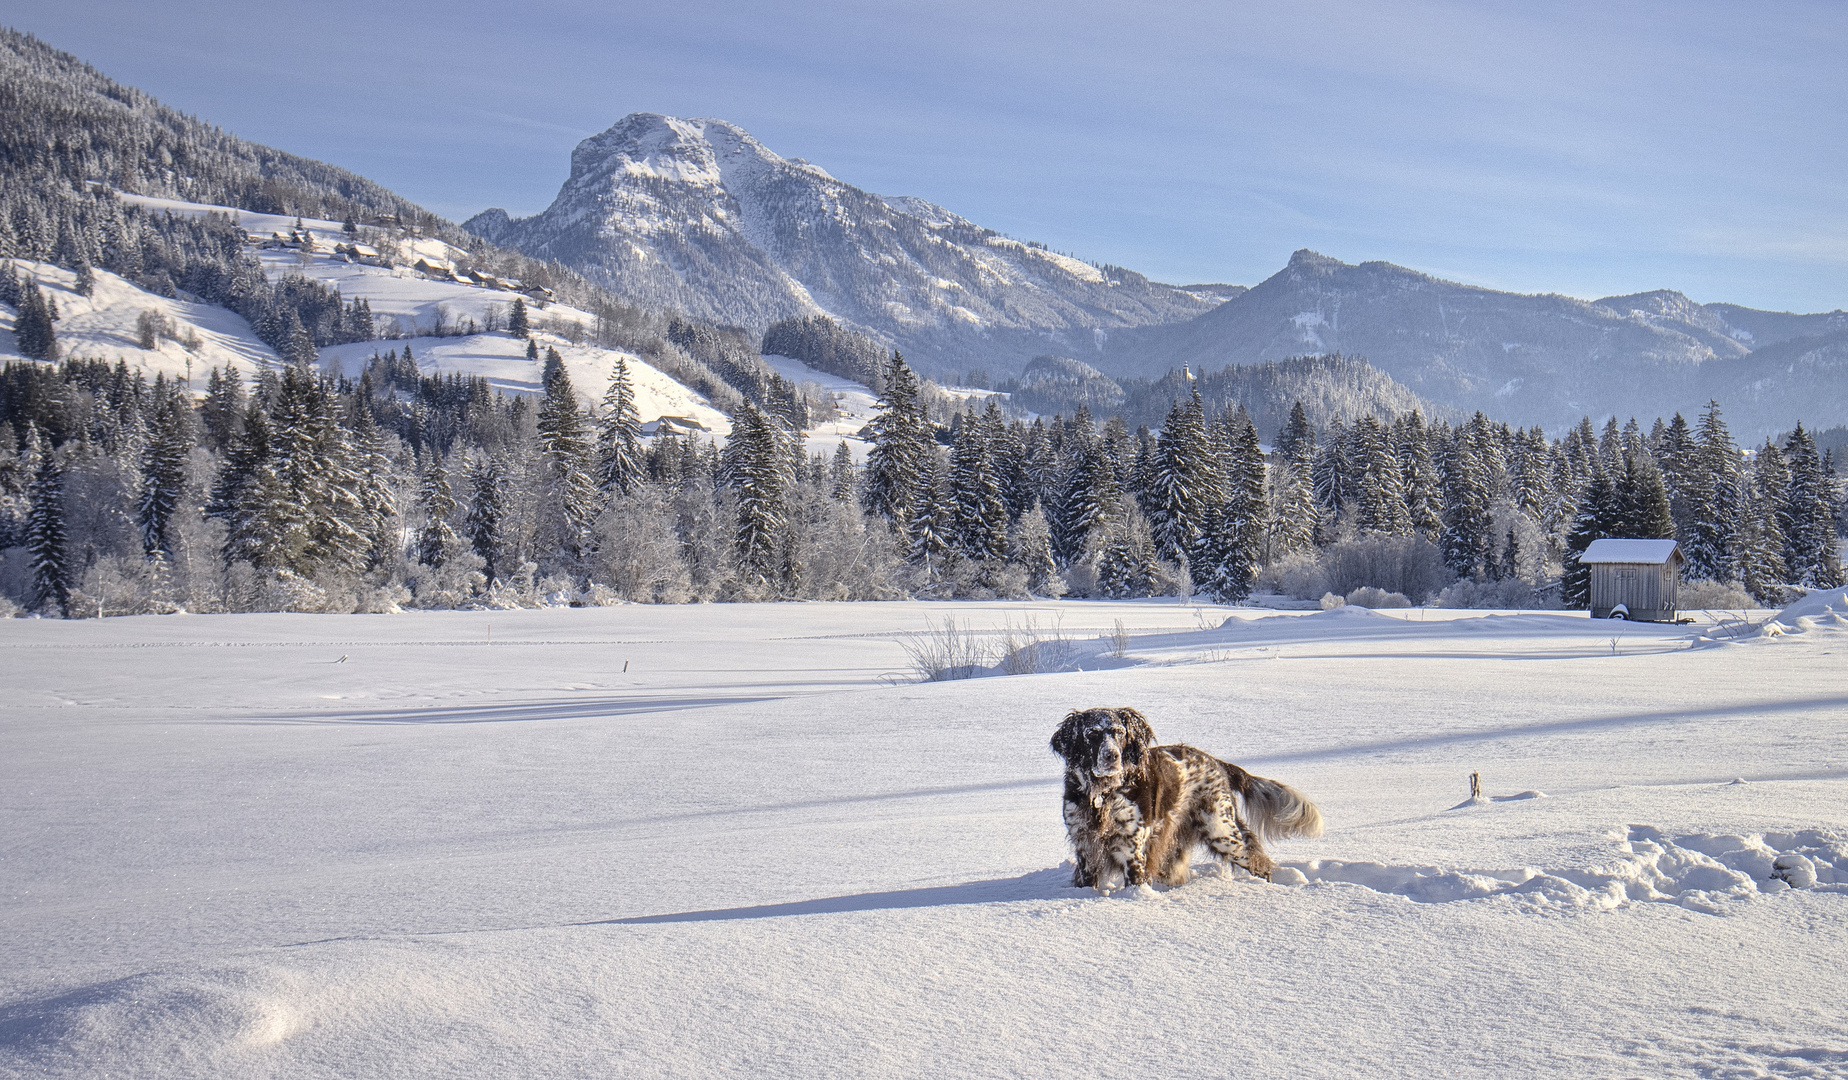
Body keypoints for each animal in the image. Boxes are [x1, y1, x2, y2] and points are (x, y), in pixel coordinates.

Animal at [1049, 702, 1323, 891]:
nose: (1112, 756)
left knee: (1260, 864)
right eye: (1092, 735)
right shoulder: (1085, 848)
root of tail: (1217, 763)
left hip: (1223, 832)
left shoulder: (1132, 849)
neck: (1103, 795)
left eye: (1119, 732)